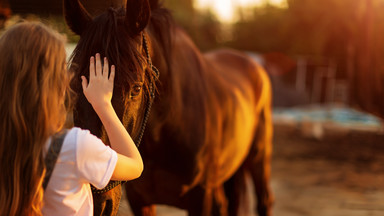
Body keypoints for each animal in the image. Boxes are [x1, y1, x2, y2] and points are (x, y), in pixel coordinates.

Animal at [64, 0, 272, 215]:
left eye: (136, 88)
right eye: (73, 86)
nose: (95, 205)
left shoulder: (202, 197)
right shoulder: (139, 199)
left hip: (259, 157)